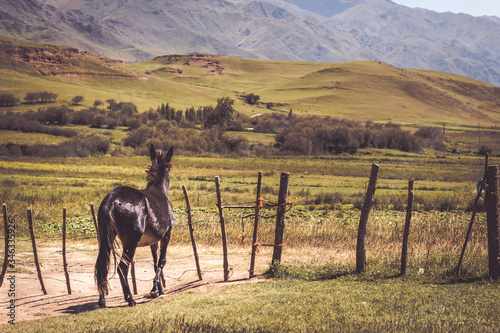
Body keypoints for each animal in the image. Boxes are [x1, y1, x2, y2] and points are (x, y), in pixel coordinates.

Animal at [94, 143, 175, 306]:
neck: (160, 190)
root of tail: (111, 199)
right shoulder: (166, 235)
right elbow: (161, 261)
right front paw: (155, 290)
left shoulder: (153, 241)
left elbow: (155, 262)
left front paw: (157, 290)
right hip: (131, 242)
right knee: (122, 267)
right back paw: (130, 298)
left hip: (106, 238)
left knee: (103, 266)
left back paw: (102, 300)